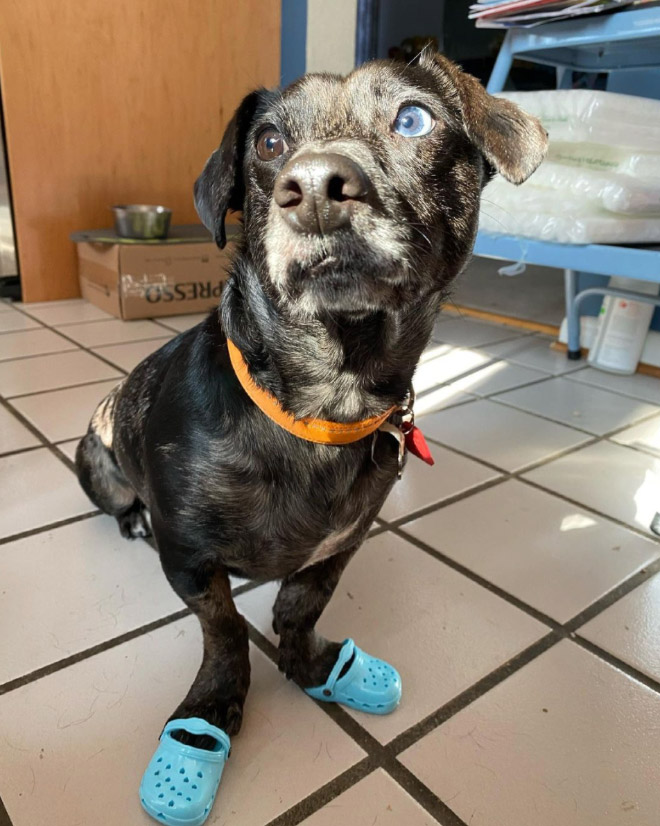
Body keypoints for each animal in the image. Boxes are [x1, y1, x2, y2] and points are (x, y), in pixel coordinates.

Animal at [76, 51, 548, 740]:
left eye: (413, 119)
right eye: (269, 143)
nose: (316, 187)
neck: (326, 403)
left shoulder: (341, 546)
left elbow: (301, 605)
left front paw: (311, 665)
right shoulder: (189, 561)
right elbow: (224, 627)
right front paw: (213, 701)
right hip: (100, 465)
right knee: (117, 501)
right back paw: (131, 515)